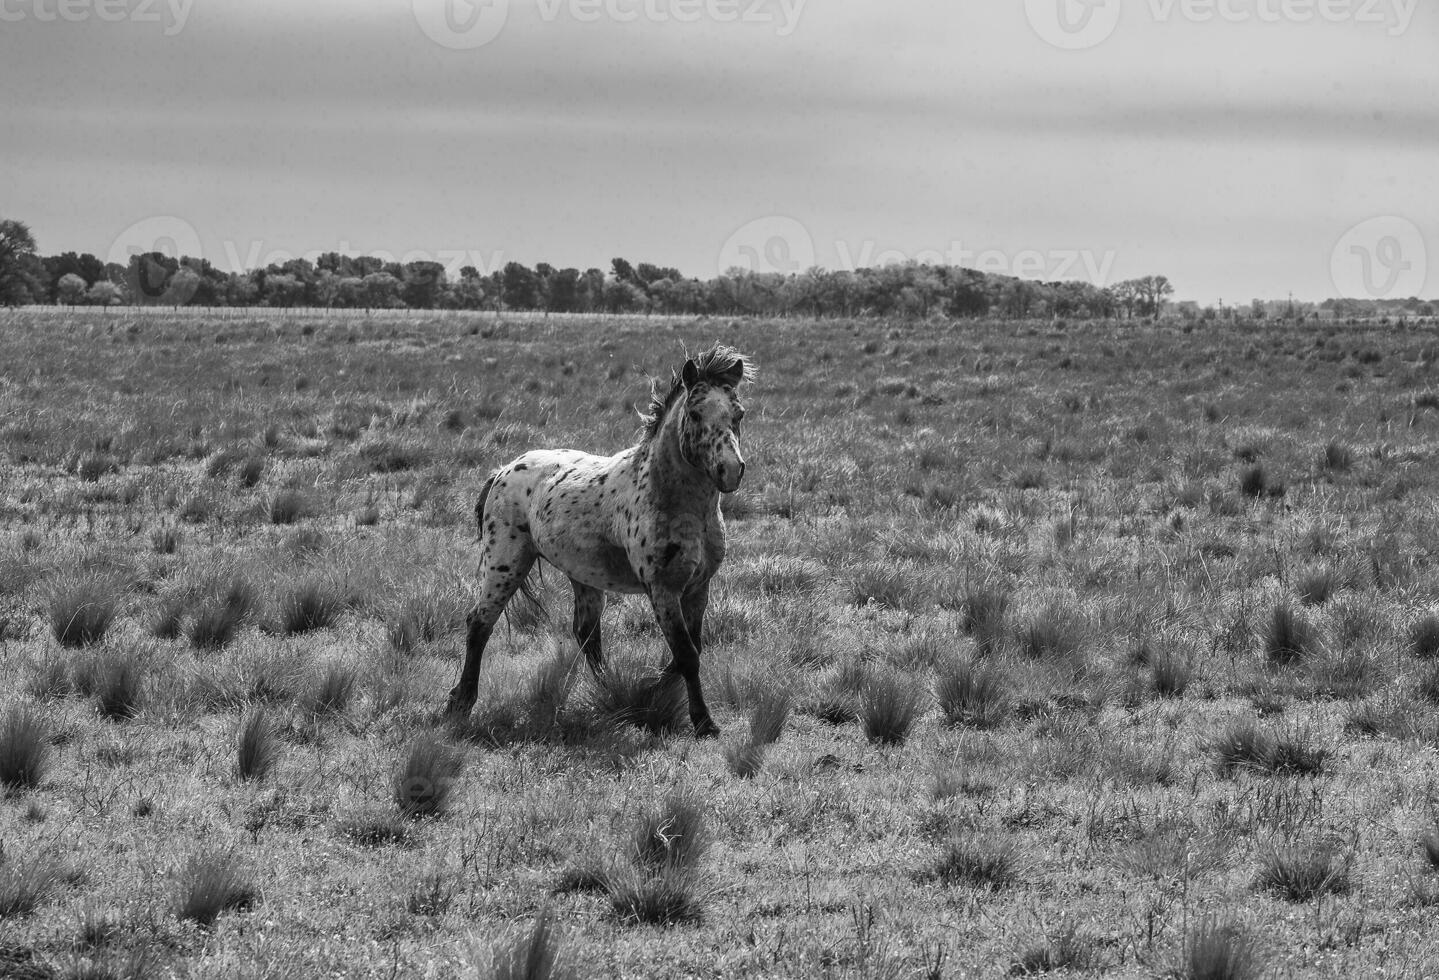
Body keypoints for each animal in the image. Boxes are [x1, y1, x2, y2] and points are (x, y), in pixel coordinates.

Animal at [440, 343, 754, 733]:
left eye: (738, 414)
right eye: (695, 414)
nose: (731, 470)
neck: (677, 502)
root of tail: (503, 470)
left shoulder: (698, 588)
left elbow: (690, 650)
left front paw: (646, 690)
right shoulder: (663, 589)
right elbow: (686, 654)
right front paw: (703, 722)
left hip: (584, 577)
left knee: (586, 634)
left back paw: (608, 690)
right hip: (505, 564)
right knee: (480, 623)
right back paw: (460, 702)